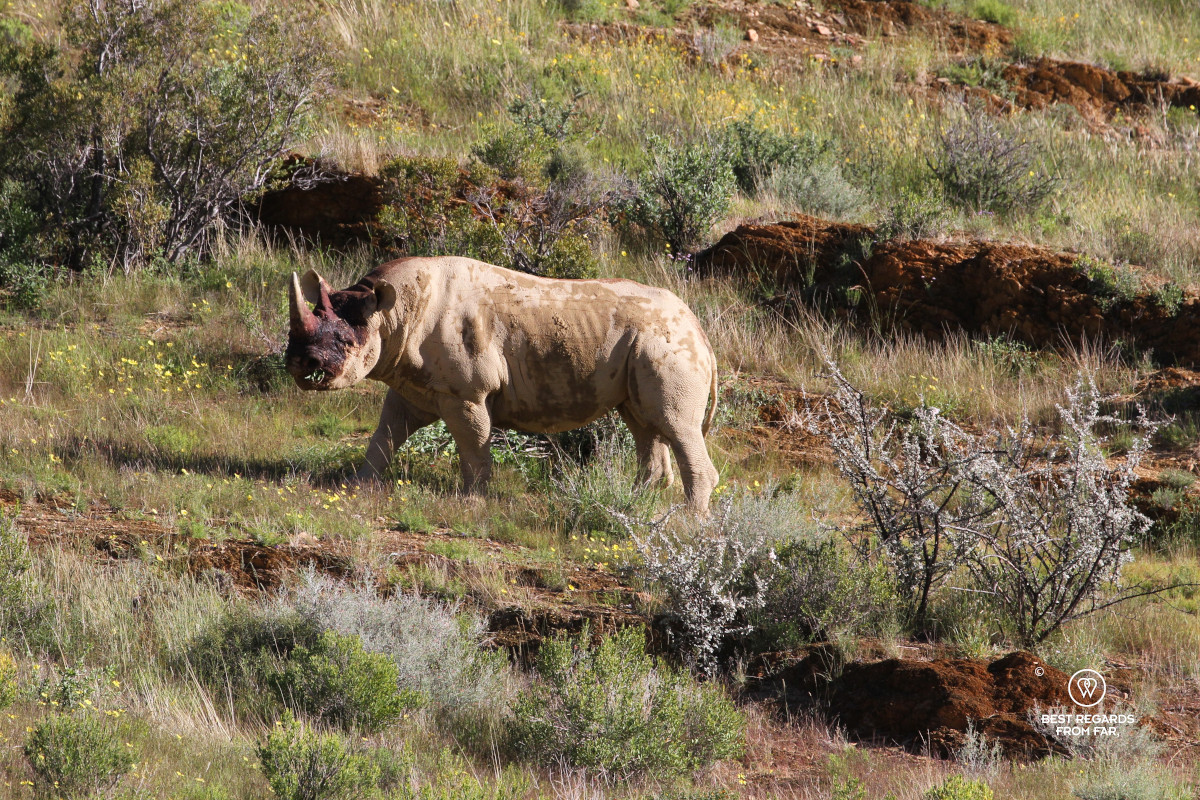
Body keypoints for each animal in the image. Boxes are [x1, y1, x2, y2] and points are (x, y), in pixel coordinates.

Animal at [285, 256, 719, 511]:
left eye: (345, 343)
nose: (301, 364)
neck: (393, 312)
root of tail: (700, 329)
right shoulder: (412, 385)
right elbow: (385, 435)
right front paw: (357, 486)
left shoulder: (466, 391)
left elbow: (473, 444)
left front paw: (471, 501)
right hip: (648, 346)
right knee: (644, 424)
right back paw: (633, 505)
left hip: (666, 344)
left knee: (676, 425)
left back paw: (684, 523)